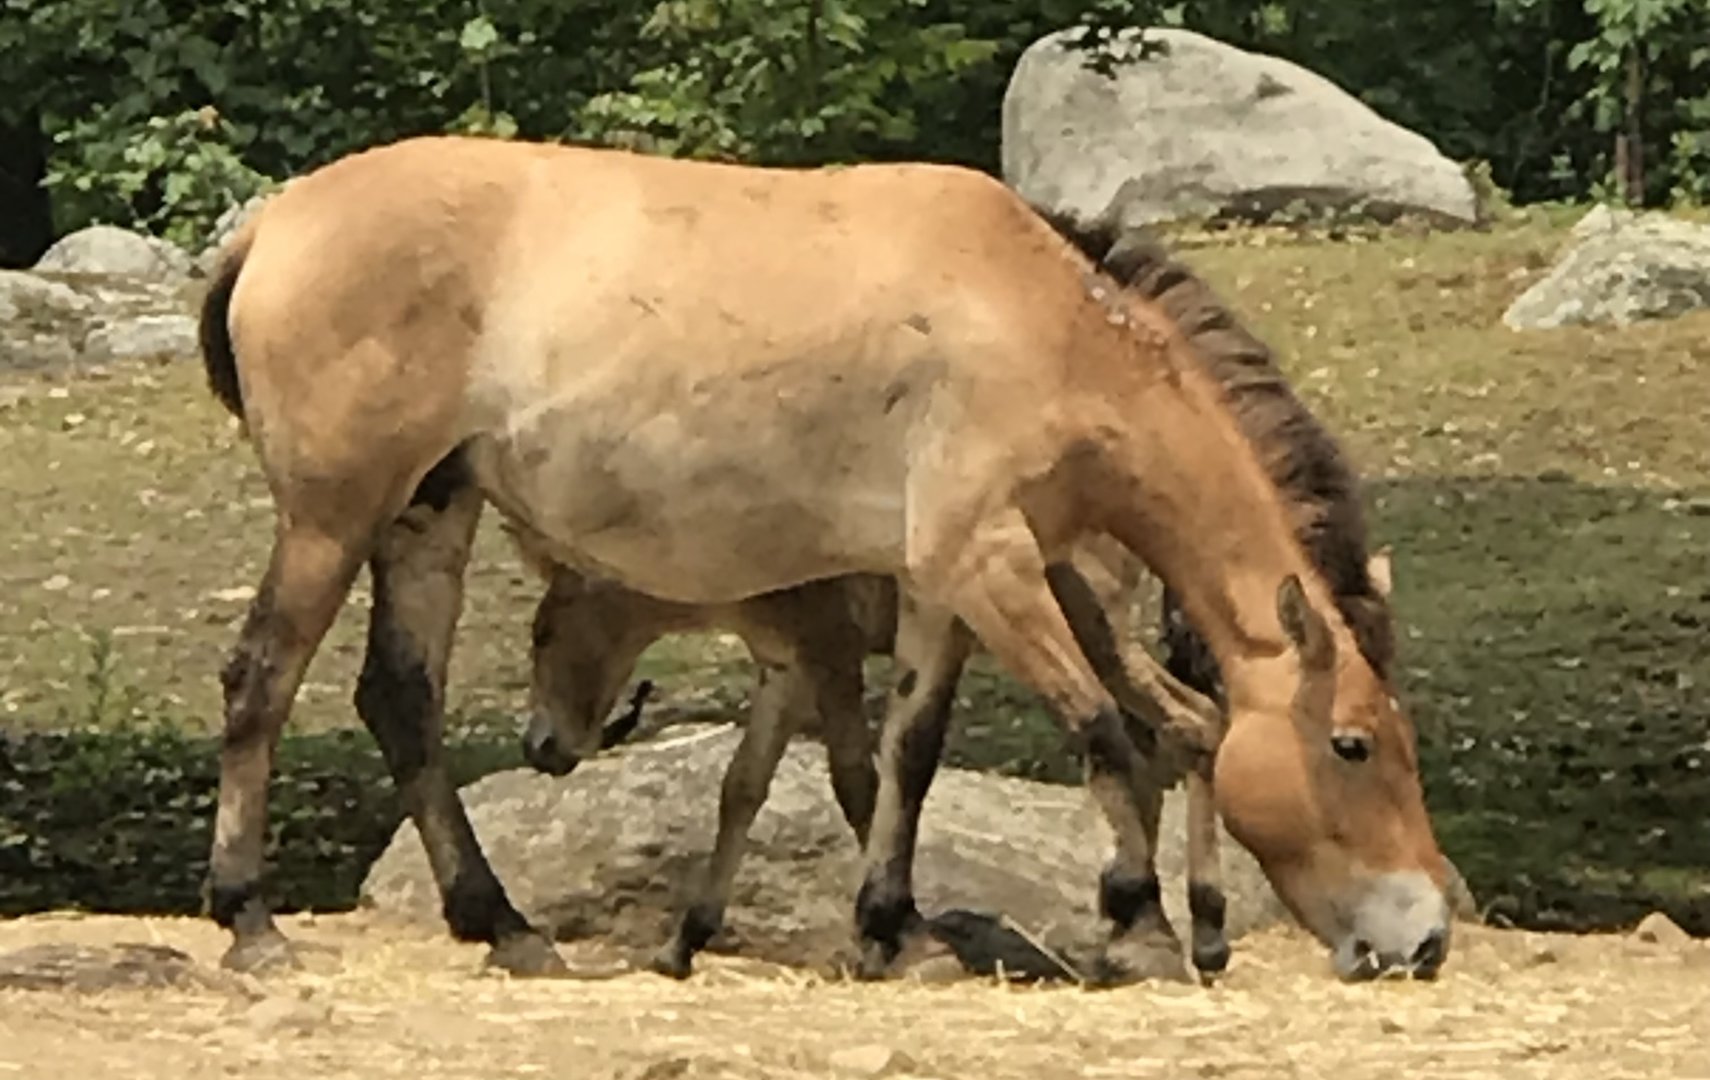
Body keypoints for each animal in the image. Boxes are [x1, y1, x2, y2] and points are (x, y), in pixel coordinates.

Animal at [195, 133, 1452, 983]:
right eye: (1352, 745)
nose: (1427, 937)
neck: (1046, 325)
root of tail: (271, 227)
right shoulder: (992, 565)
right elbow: (1099, 730)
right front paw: (1135, 925)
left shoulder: (942, 588)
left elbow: (907, 756)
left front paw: (896, 929)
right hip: (333, 517)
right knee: (262, 679)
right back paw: (248, 917)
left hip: (429, 513)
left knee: (401, 700)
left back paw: (503, 926)